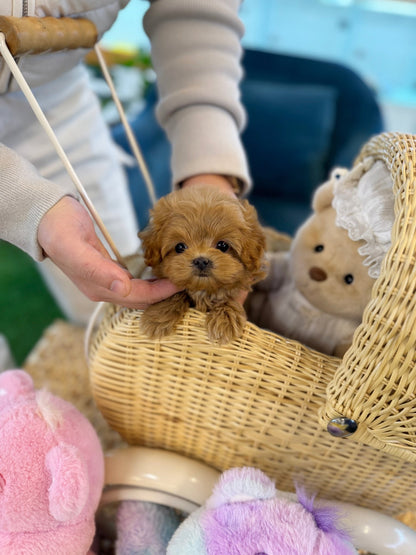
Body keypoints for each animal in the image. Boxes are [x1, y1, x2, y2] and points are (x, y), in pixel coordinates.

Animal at [138, 185, 268, 346]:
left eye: (223, 245)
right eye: (180, 247)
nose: (201, 261)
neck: (203, 290)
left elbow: (227, 296)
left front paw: (224, 320)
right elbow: (175, 294)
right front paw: (158, 316)